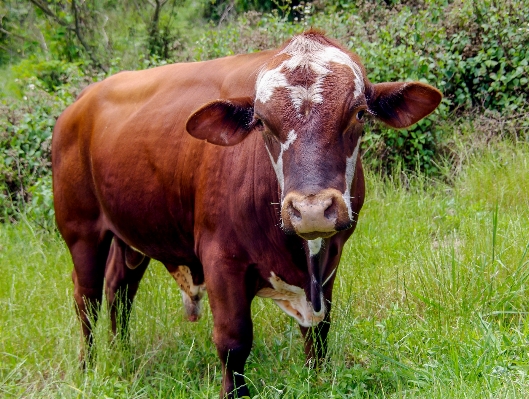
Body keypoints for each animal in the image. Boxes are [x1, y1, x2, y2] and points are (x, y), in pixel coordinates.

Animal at [53, 29, 442, 398]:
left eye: (360, 113)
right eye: (263, 122)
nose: (311, 210)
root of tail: (78, 105)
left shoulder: (331, 258)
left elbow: (319, 331)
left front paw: (317, 380)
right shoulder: (220, 259)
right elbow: (234, 340)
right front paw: (233, 392)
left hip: (132, 234)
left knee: (119, 290)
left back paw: (123, 354)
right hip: (81, 230)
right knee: (87, 297)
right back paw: (88, 366)